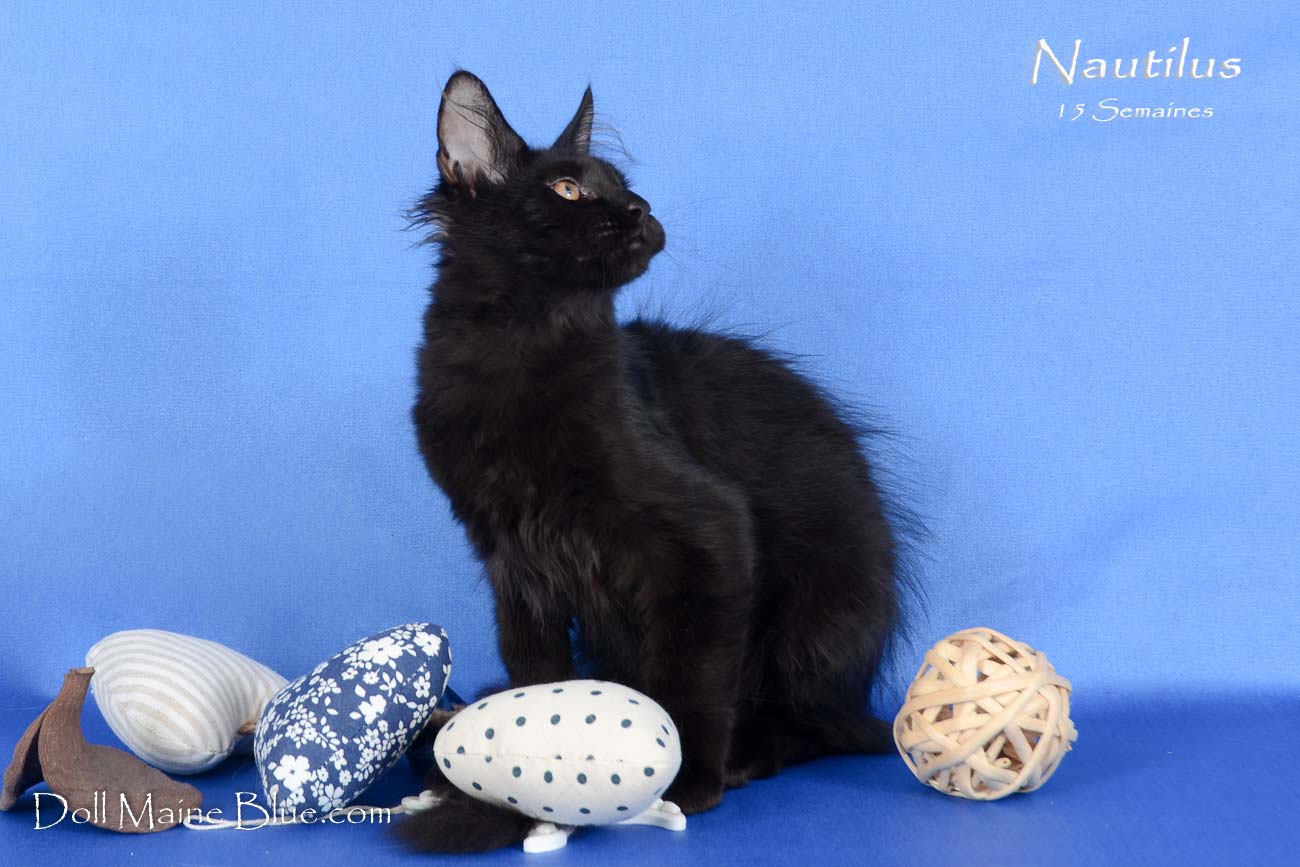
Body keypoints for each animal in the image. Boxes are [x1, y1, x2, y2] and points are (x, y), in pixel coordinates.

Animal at [398, 71, 903, 853]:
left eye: (625, 188)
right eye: (570, 190)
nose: (642, 210)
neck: (518, 353)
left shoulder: (707, 532)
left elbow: (690, 675)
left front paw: (686, 779)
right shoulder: (512, 559)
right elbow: (534, 667)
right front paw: (519, 755)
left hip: (815, 620)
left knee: (815, 724)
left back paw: (747, 755)